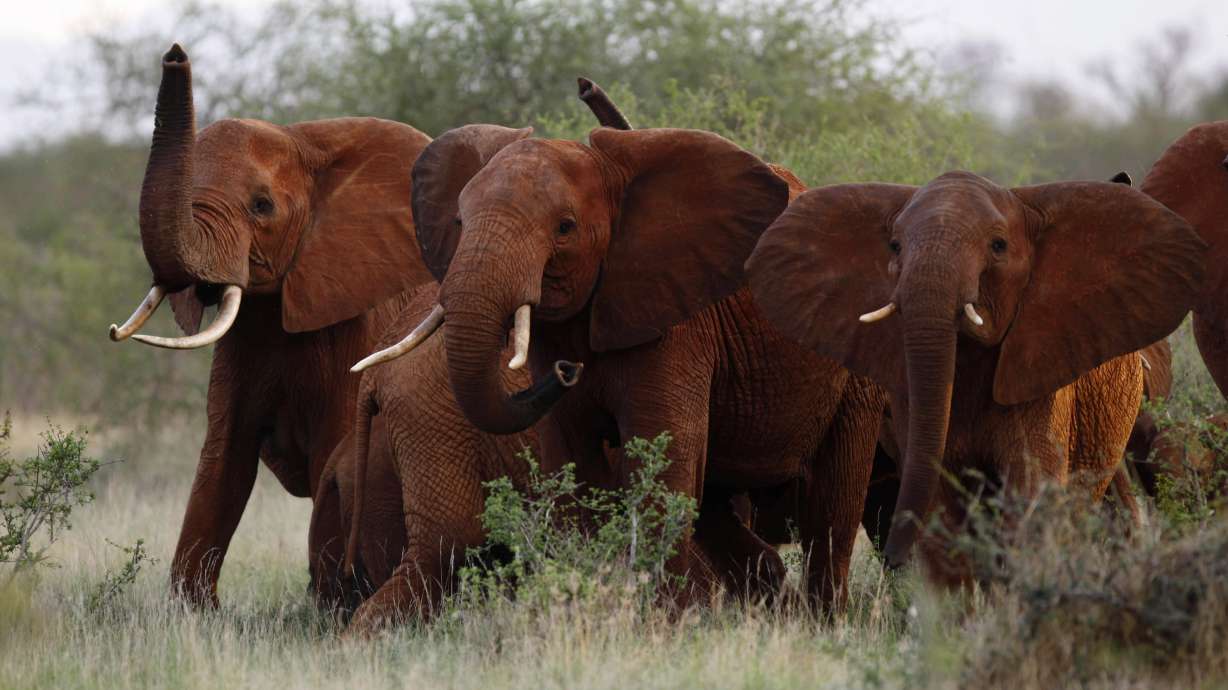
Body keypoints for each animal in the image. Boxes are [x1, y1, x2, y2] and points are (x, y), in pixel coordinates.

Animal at [106, 44, 435, 607]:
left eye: (262, 207)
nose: (175, 54)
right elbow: (223, 461)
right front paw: (194, 614)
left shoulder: (358, 325)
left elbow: (333, 456)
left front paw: (327, 608)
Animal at [362, 123, 887, 608]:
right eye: (458, 220)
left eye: (565, 227)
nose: (565, 372)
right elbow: (573, 471)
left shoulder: (676, 321)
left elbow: (661, 467)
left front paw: (665, 624)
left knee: (833, 511)